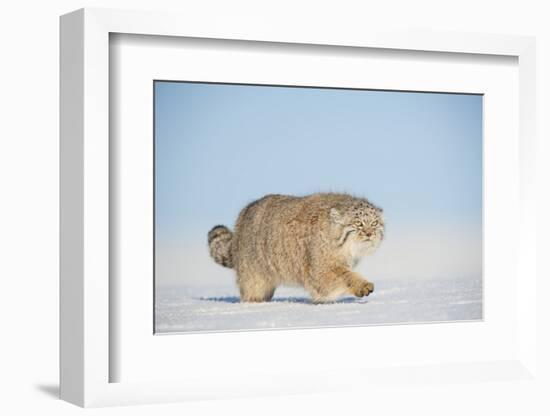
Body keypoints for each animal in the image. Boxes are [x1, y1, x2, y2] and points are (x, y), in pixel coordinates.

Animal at [209, 192, 386, 302]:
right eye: (358, 224)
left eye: (374, 223)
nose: (369, 233)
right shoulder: (319, 270)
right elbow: (345, 277)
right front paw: (361, 285)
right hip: (254, 278)